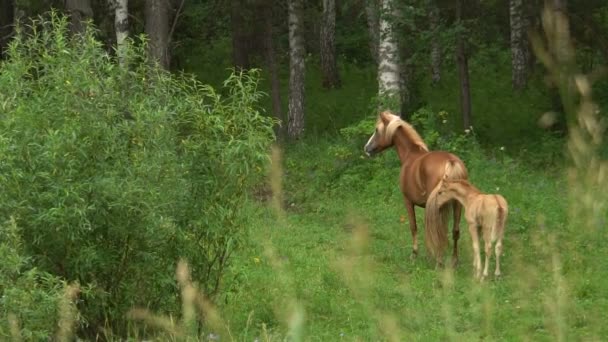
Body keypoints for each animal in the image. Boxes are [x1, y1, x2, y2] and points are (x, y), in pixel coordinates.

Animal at [364, 111, 468, 266]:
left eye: (377, 130)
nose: (367, 148)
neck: (410, 155)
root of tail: (451, 162)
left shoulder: (408, 201)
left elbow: (414, 226)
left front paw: (415, 254)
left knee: (439, 229)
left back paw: (439, 261)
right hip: (457, 205)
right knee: (454, 230)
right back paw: (453, 261)